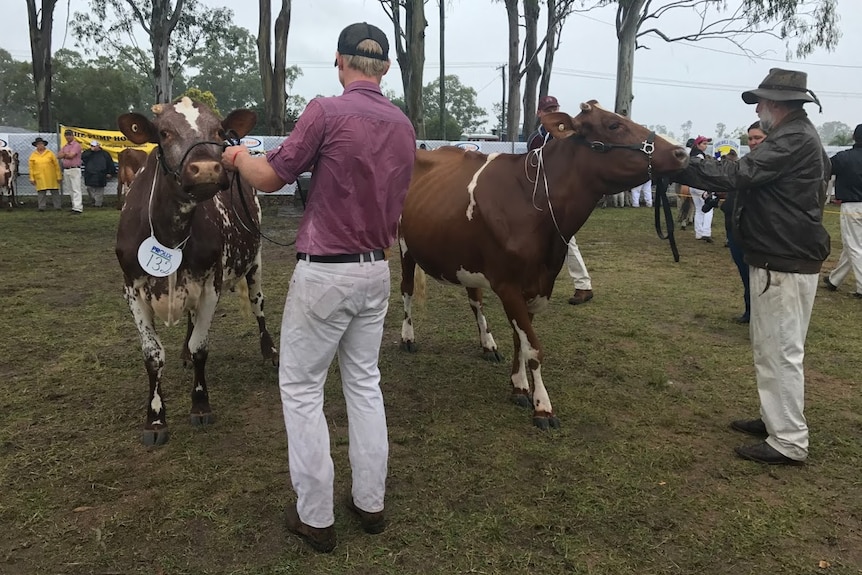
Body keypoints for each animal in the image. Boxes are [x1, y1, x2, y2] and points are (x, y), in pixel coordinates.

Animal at [116, 98, 278, 446]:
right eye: (164, 132)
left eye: (217, 130)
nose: (205, 168)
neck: (170, 233)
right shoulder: (132, 289)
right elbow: (153, 355)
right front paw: (155, 418)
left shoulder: (209, 285)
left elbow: (201, 346)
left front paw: (200, 404)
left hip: (255, 260)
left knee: (258, 304)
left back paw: (270, 351)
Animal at [398, 101, 688, 430]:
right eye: (613, 125)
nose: (681, 153)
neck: (534, 204)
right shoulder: (508, 285)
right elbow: (534, 347)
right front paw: (543, 407)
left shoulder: (537, 283)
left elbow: (520, 340)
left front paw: (519, 387)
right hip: (403, 245)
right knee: (406, 291)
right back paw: (407, 338)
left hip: (467, 261)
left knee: (475, 301)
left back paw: (488, 344)